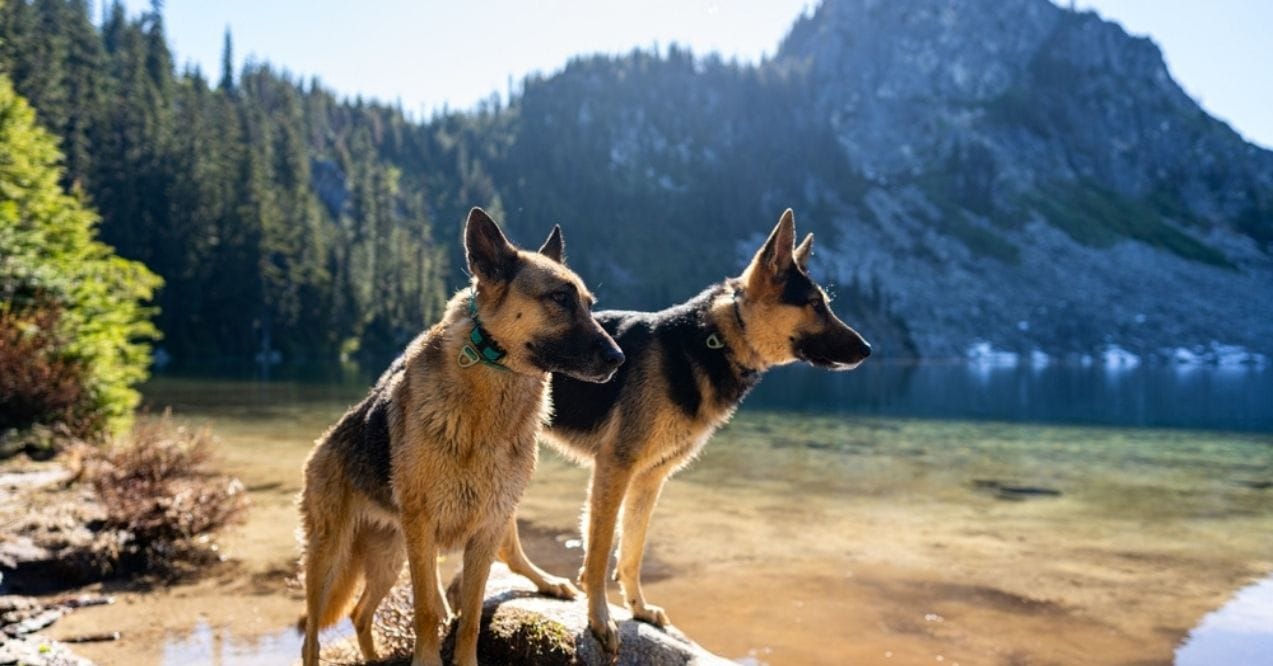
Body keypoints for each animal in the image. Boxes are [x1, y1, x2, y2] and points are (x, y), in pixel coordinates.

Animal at [294, 208, 621, 666]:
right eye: (559, 298)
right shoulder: (424, 529)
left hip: (391, 558)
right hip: (332, 556)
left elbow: (469, 618)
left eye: (590, 304)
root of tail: (322, 444)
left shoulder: (487, 527)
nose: (619, 358)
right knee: (311, 636)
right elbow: (428, 611)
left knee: (361, 613)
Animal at [501, 208, 870, 651]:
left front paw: (639, 609)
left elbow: (632, 551)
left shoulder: (650, 478)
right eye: (815, 304)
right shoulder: (615, 467)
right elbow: (600, 553)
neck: (717, 340)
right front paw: (600, 619)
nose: (868, 350)